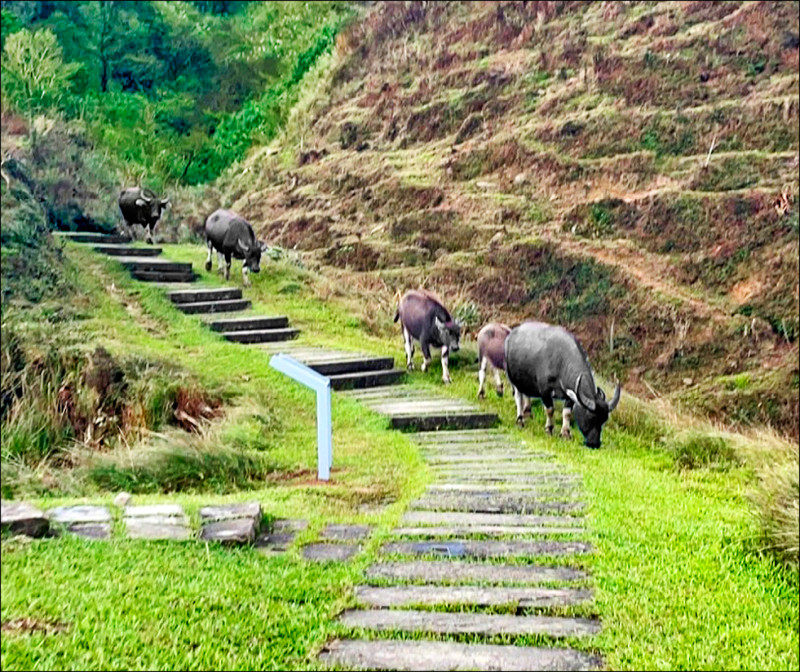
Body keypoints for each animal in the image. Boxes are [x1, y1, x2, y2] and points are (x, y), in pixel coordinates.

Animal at [504, 318, 620, 446]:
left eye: (604, 419)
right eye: (590, 416)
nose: (594, 443)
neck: (560, 362)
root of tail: (512, 334)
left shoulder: (570, 394)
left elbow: (567, 413)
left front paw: (565, 434)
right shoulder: (545, 390)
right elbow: (550, 410)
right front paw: (549, 429)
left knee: (526, 394)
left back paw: (528, 413)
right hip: (512, 378)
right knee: (518, 397)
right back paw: (520, 420)